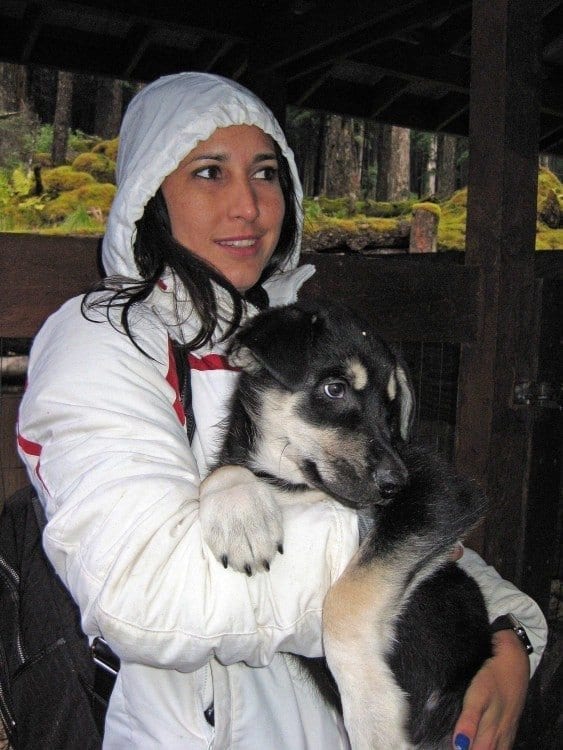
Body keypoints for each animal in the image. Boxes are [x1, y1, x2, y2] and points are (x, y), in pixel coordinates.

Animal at [199, 302, 494, 750]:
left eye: (391, 409)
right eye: (334, 389)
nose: (395, 484)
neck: (298, 486)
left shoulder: (439, 493)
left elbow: (346, 598)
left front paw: (373, 713)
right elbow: (223, 470)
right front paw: (241, 516)